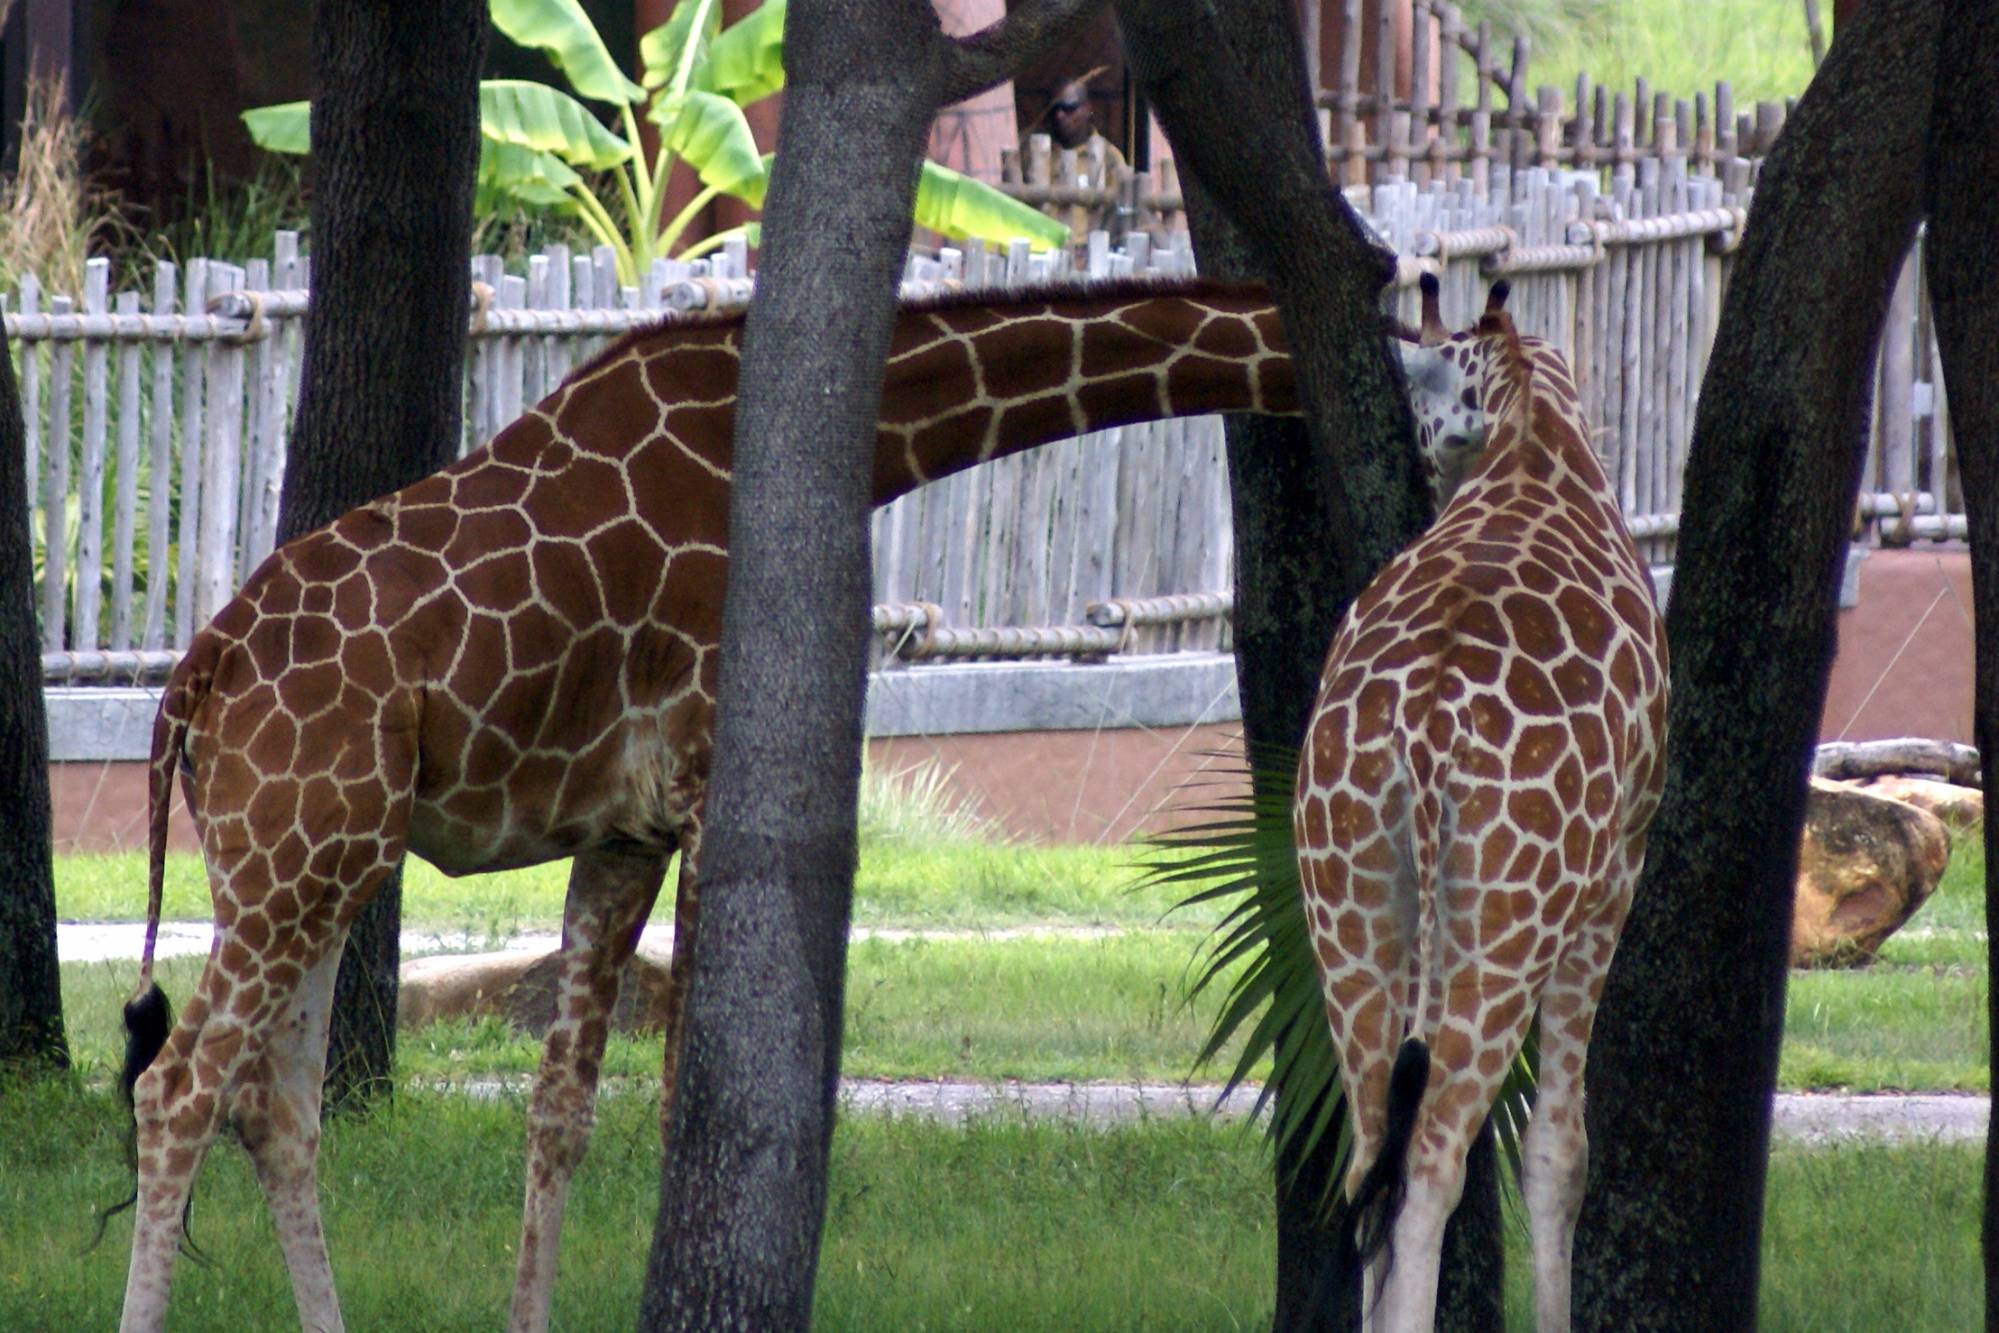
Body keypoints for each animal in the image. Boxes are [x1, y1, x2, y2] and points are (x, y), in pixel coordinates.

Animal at [113, 275, 1295, 1327]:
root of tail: (193, 680)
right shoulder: (706, 785)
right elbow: (686, 1088)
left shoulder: (623, 833)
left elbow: (561, 1108)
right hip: (299, 856)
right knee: (179, 1088)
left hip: (315, 860)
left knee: (275, 1108)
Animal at [1295, 275, 1671, 1327]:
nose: (1427, 459)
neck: (1535, 433)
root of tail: (1421, 728)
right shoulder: (1617, 866)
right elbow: (1557, 1151)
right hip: (1507, 916)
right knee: (1431, 1166)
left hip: (1344, 897)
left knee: (1367, 1162)